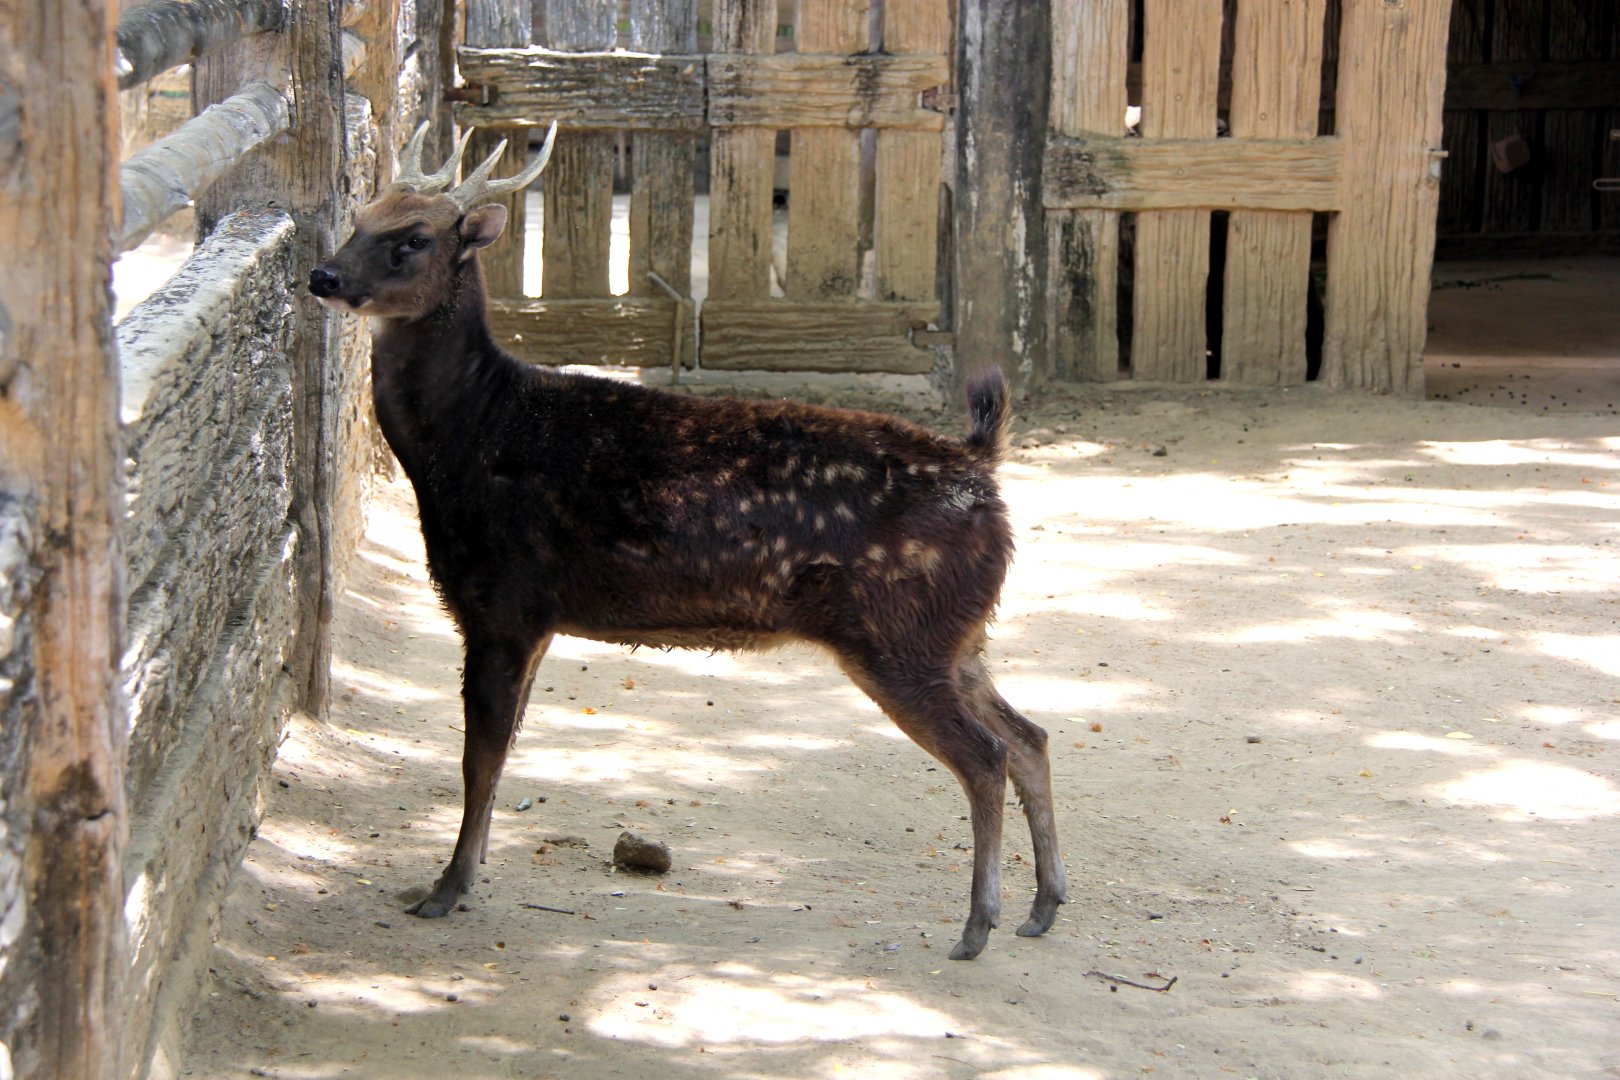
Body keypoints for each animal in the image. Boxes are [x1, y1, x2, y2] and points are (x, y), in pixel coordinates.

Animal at [307, 123, 1066, 960]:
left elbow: (480, 758)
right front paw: (465, 877)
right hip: (955, 635)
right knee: (1030, 736)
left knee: (987, 756)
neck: (470, 440)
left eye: (412, 238)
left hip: (899, 633)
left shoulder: (502, 601)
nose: (322, 275)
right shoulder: (535, 618)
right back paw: (1042, 906)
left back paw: (977, 925)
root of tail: (981, 466)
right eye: (361, 215)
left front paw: (444, 889)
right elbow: (500, 757)